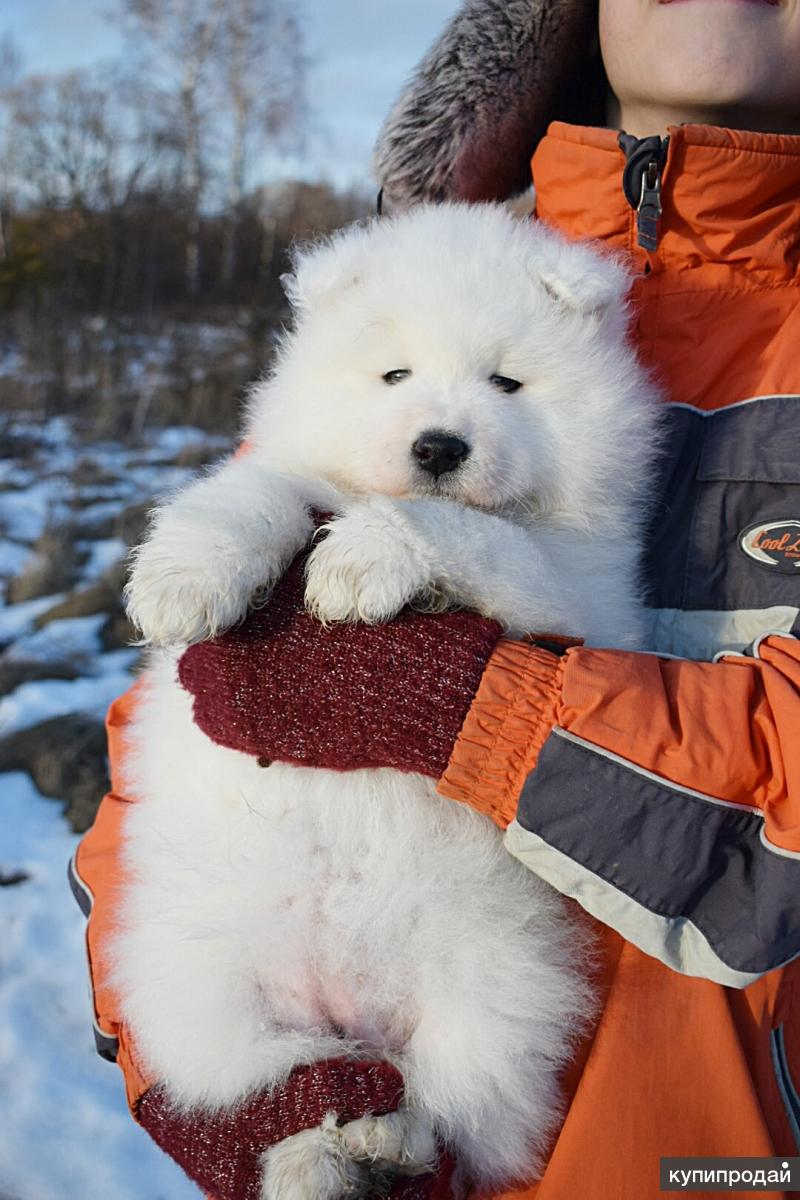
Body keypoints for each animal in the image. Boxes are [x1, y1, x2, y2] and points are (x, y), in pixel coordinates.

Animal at [117, 204, 657, 1200]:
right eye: (393, 375)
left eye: (507, 381)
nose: (439, 445)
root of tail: (348, 1007)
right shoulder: (295, 472)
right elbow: (254, 489)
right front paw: (182, 581)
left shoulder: (583, 586)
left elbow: (470, 528)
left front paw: (365, 560)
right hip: (196, 987)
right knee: (270, 1087)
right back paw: (316, 1153)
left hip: (501, 995)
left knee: (457, 1107)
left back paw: (385, 1138)